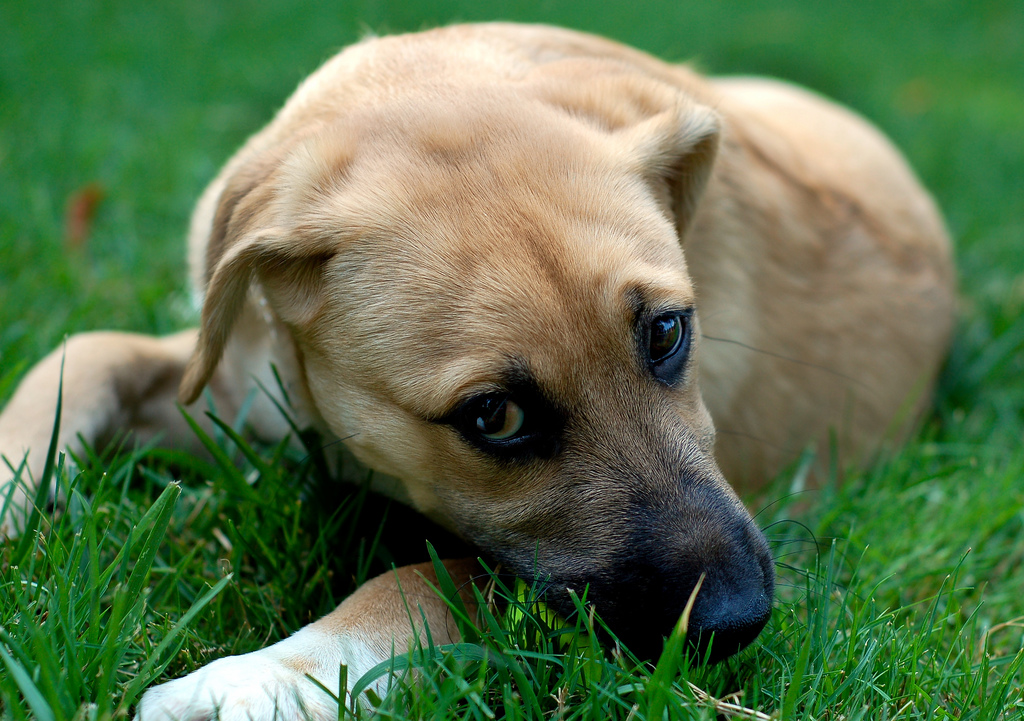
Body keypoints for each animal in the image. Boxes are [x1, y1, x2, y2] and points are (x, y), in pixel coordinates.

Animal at [2, 21, 958, 716]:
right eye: (494, 415)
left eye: (667, 334)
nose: (739, 620)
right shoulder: (240, 390)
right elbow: (84, 351)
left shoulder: (527, 583)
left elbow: (425, 578)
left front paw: (271, 678)